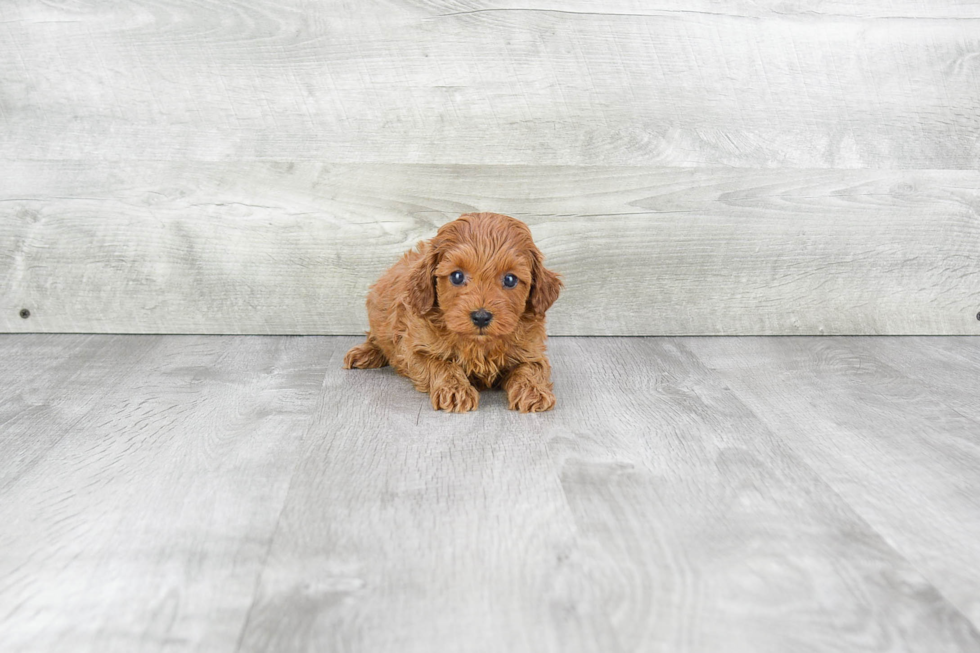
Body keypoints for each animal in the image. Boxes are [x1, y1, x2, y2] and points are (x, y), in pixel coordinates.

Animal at [344, 214, 564, 412]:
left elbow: (531, 368)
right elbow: (441, 365)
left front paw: (533, 390)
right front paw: (455, 390)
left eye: (510, 279)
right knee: (375, 338)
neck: (478, 345)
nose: (481, 317)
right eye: (457, 276)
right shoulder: (414, 350)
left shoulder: (532, 352)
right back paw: (365, 353)